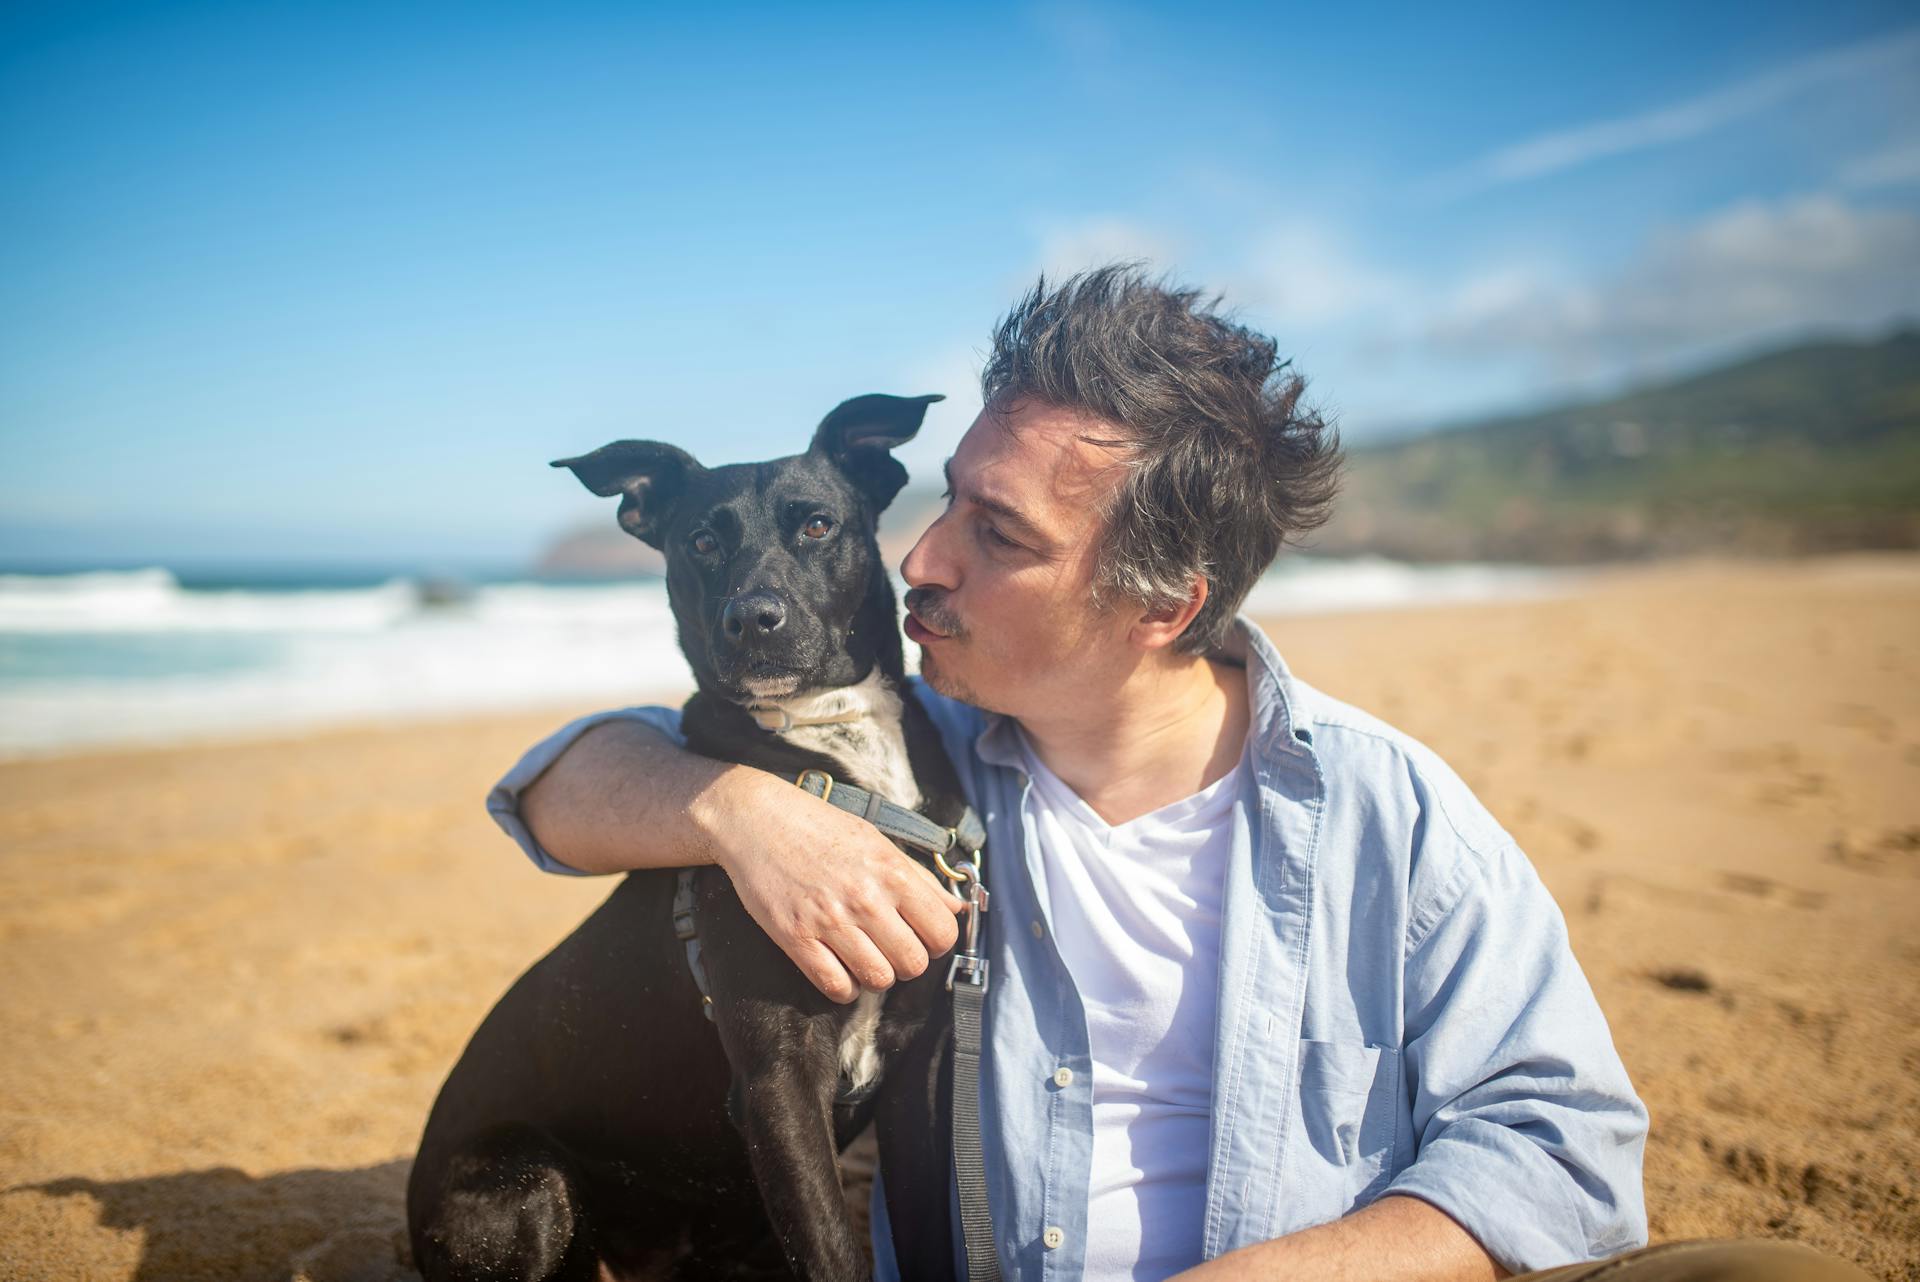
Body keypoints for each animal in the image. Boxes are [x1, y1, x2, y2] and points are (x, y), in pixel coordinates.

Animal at [410, 395, 967, 1274]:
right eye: (702, 542)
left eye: (817, 525)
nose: (754, 619)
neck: (838, 758)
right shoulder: (778, 1080)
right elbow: (834, 1253)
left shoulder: (920, 1075)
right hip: (529, 1186)